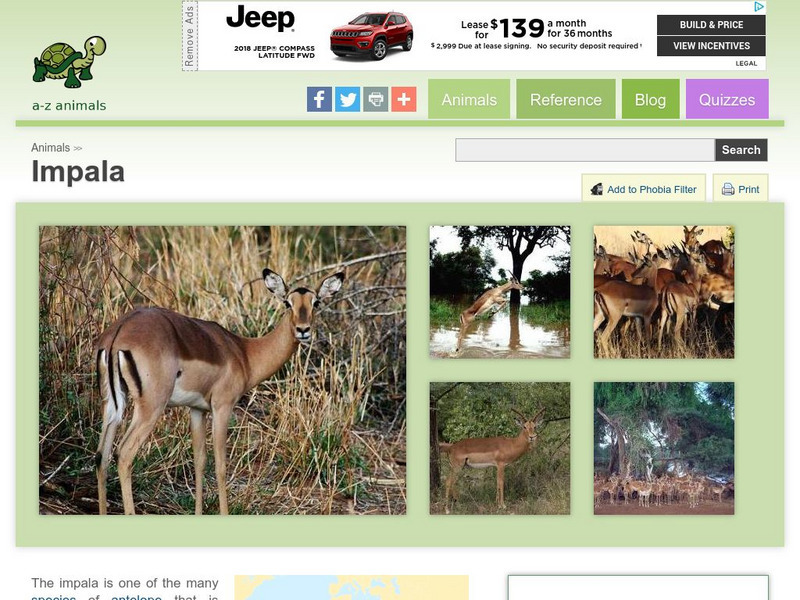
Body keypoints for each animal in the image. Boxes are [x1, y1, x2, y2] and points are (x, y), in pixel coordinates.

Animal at [94, 268, 345, 515]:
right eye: (287, 302)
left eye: (316, 302)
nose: (303, 330)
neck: (244, 353)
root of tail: (119, 334)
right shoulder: (222, 407)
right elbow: (221, 466)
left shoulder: (197, 410)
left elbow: (199, 461)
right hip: (151, 407)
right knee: (124, 454)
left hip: (112, 404)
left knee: (101, 457)